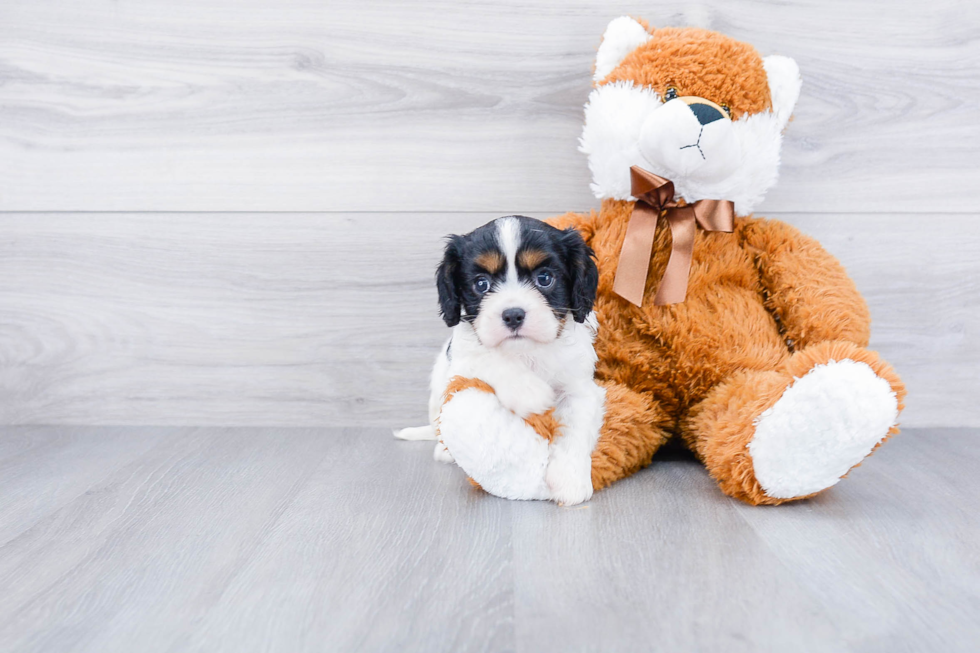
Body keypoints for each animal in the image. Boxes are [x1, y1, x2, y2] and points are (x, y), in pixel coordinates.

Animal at [396, 214, 604, 504]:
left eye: (544, 278)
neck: (526, 352)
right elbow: (489, 358)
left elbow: (575, 426)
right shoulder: (462, 359)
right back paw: (445, 451)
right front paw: (530, 392)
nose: (513, 314)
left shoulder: (579, 386)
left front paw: (570, 480)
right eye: (481, 284)